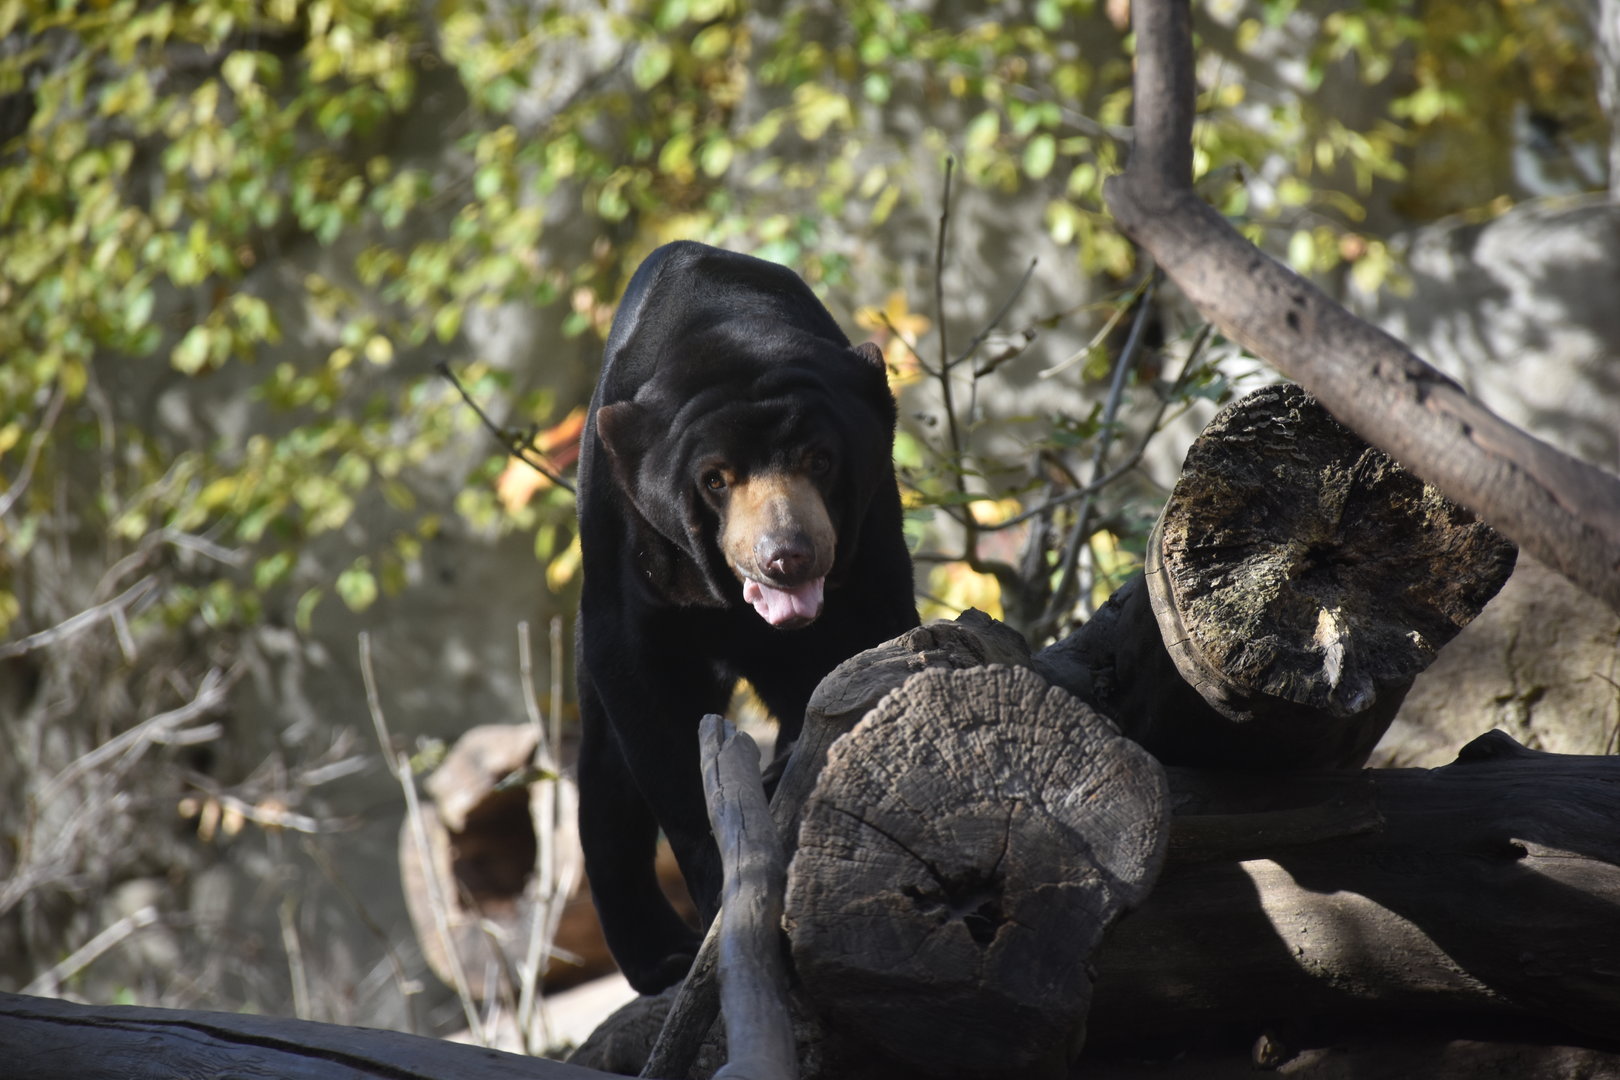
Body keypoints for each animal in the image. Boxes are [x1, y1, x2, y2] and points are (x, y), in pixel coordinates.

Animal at [574, 240, 919, 993]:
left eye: (821, 459)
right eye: (715, 479)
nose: (786, 556)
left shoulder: (871, 526)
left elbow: (873, 631)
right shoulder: (627, 543)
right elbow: (649, 708)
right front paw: (715, 898)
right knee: (605, 773)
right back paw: (661, 958)